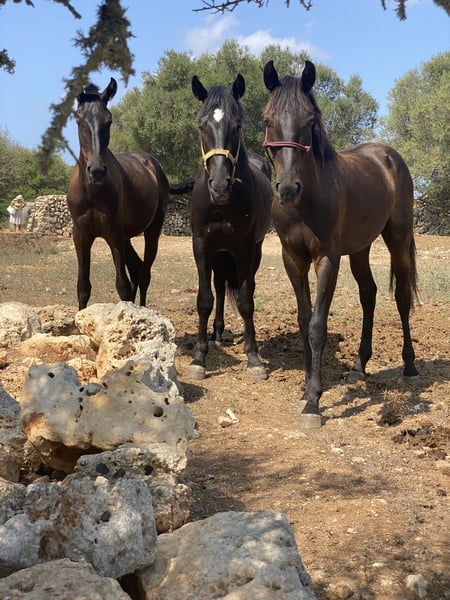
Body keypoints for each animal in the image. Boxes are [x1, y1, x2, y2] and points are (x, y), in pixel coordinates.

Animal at [67, 77, 169, 310]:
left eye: (109, 121)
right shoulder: (81, 235)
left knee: (144, 274)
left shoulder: (113, 234)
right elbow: (82, 286)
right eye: (79, 121)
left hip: (151, 231)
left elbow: (122, 286)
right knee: (137, 269)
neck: (92, 192)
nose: (96, 171)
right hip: (126, 238)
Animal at [186, 73, 273, 381]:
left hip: (251, 252)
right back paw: (217, 335)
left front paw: (254, 357)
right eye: (201, 125)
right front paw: (199, 357)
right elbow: (204, 299)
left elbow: (246, 300)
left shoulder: (245, 249)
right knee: (220, 288)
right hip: (219, 254)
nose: (220, 185)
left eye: (237, 125)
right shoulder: (201, 245)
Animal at [263, 60, 419, 428]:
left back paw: (409, 365)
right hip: (360, 249)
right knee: (369, 294)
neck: (306, 202)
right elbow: (304, 320)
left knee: (402, 298)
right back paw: (360, 366)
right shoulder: (292, 258)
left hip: (397, 240)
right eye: (267, 120)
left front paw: (313, 403)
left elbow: (319, 325)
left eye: (310, 121)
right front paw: (306, 387)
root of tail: (389, 156)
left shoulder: (327, 259)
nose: (287, 188)